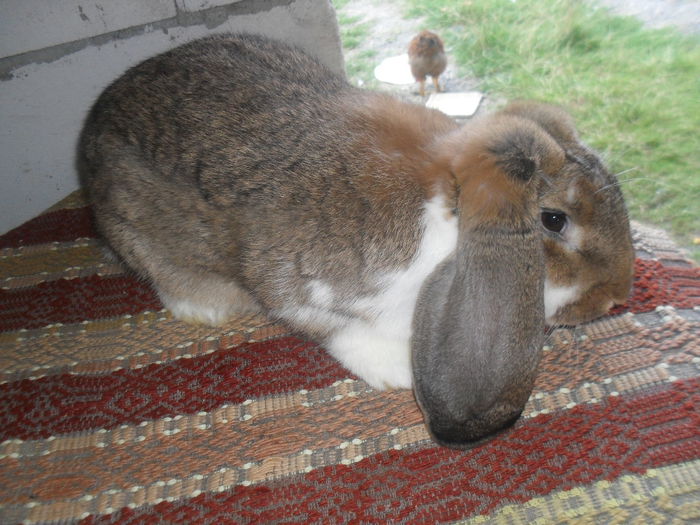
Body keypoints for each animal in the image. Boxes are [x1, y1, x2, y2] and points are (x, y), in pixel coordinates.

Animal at [78, 32, 636, 446]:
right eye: (553, 220)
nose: (614, 298)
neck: (444, 207)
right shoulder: (301, 284)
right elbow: (334, 329)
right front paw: (397, 372)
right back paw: (204, 307)